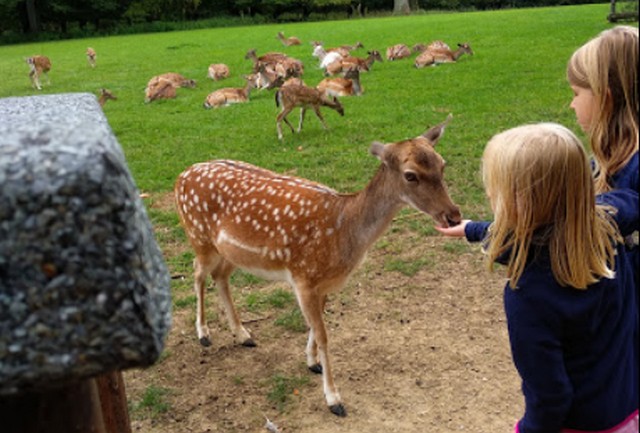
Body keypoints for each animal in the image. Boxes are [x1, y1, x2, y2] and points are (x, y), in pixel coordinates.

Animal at [175, 114, 462, 416]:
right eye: (410, 175)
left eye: (442, 164)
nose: (453, 216)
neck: (344, 232)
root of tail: (181, 176)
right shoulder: (304, 277)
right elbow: (324, 334)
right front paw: (334, 398)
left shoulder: (321, 284)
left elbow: (315, 327)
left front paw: (312, 363)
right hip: (198, 236)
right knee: (197, 273)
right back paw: (204, 334)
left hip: (232, 253)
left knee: (220, 276)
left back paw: (243, 334)